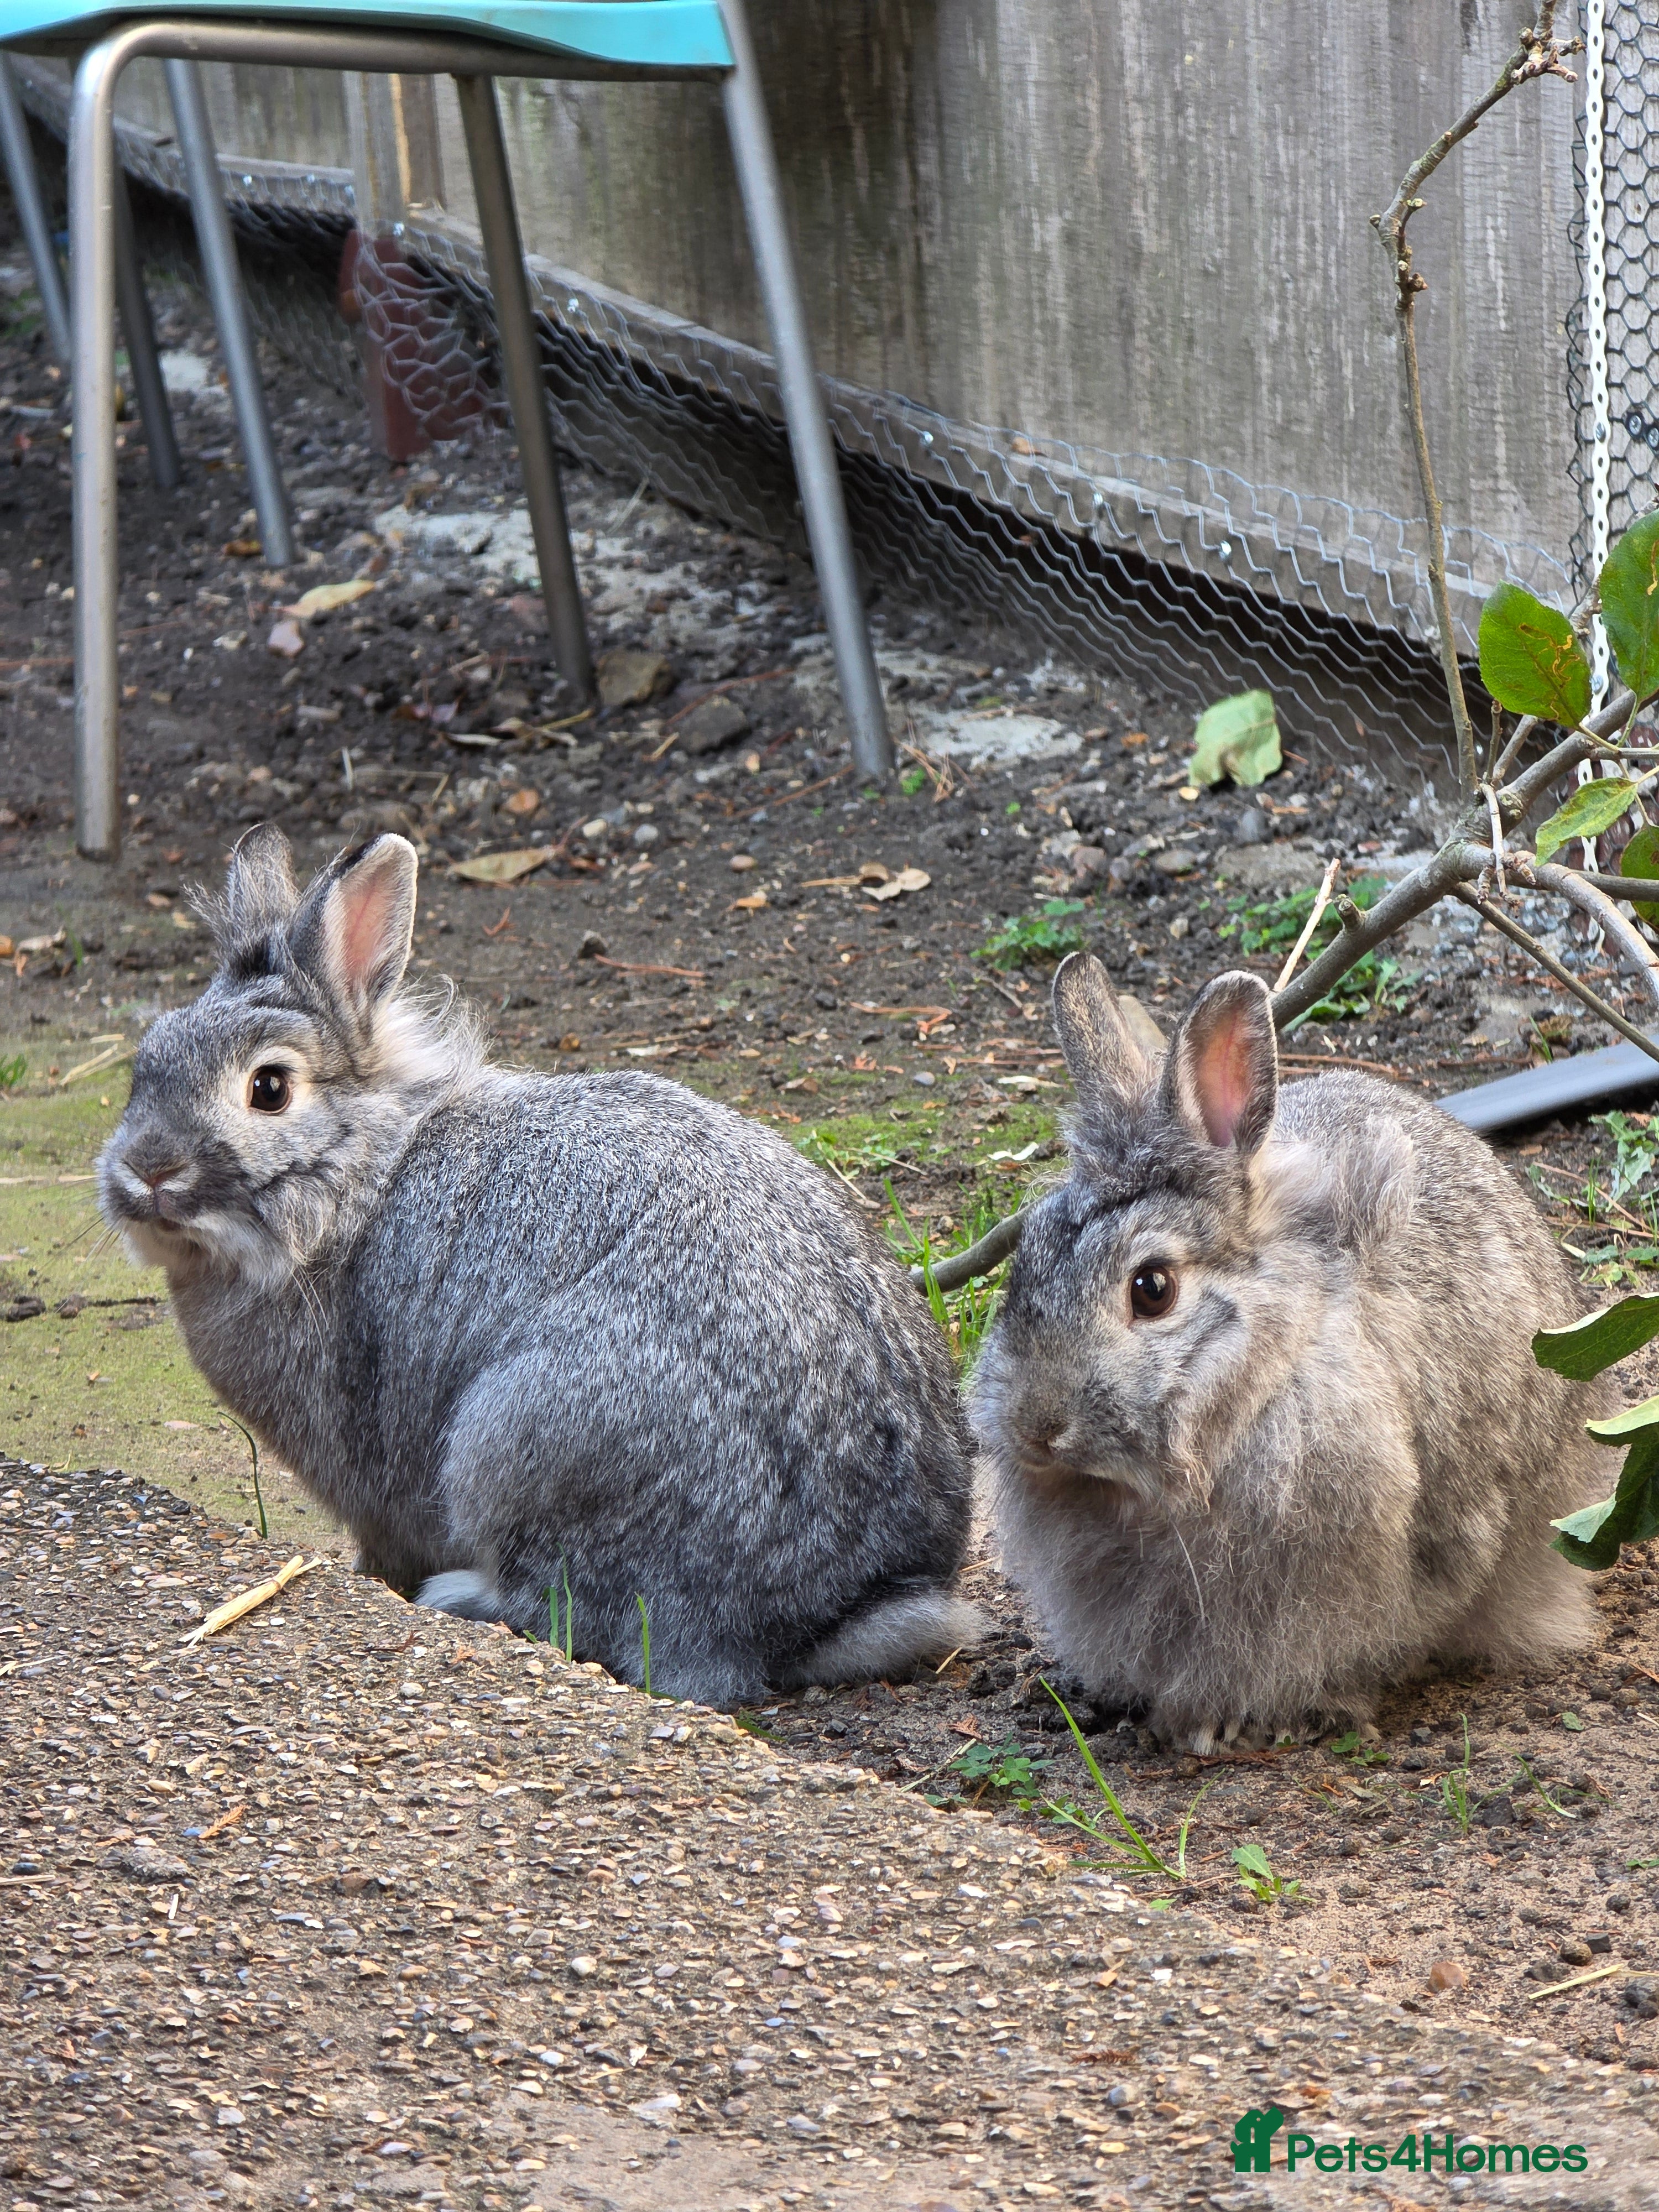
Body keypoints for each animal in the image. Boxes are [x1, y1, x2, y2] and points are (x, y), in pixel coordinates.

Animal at [98, 826, 980, 1707]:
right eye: (146, 1062)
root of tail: (829, 1612)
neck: (363, 1173)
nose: (146, 1170)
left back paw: (459, 1596)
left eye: (271, 1088)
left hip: (522, 1443)